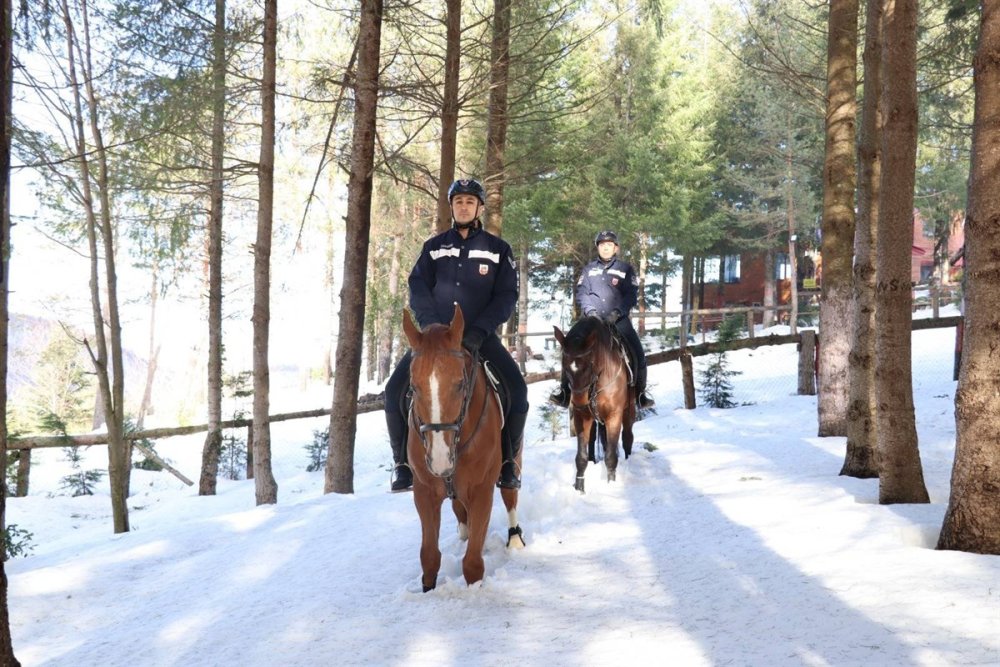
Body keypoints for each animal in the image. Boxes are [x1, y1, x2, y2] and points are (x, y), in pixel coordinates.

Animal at [402, 306, 528, 592]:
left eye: (460, 383)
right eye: (413, 386)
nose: (439, 459)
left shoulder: (481, 491)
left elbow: (472, 564)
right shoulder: (424, 492)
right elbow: (429, 556)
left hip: (513, 460)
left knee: (510, 497)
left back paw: (515, 538)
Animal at [552, 316, 636, 494]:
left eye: (589, 365)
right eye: (564, 366)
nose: (579, 402)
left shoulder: (614, 416)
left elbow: (611, 456)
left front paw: (611, 485)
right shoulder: (581, 417)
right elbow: (581, 457)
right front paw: (579, 488)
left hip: (628, 412)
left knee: (627, 437)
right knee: (593, 442)